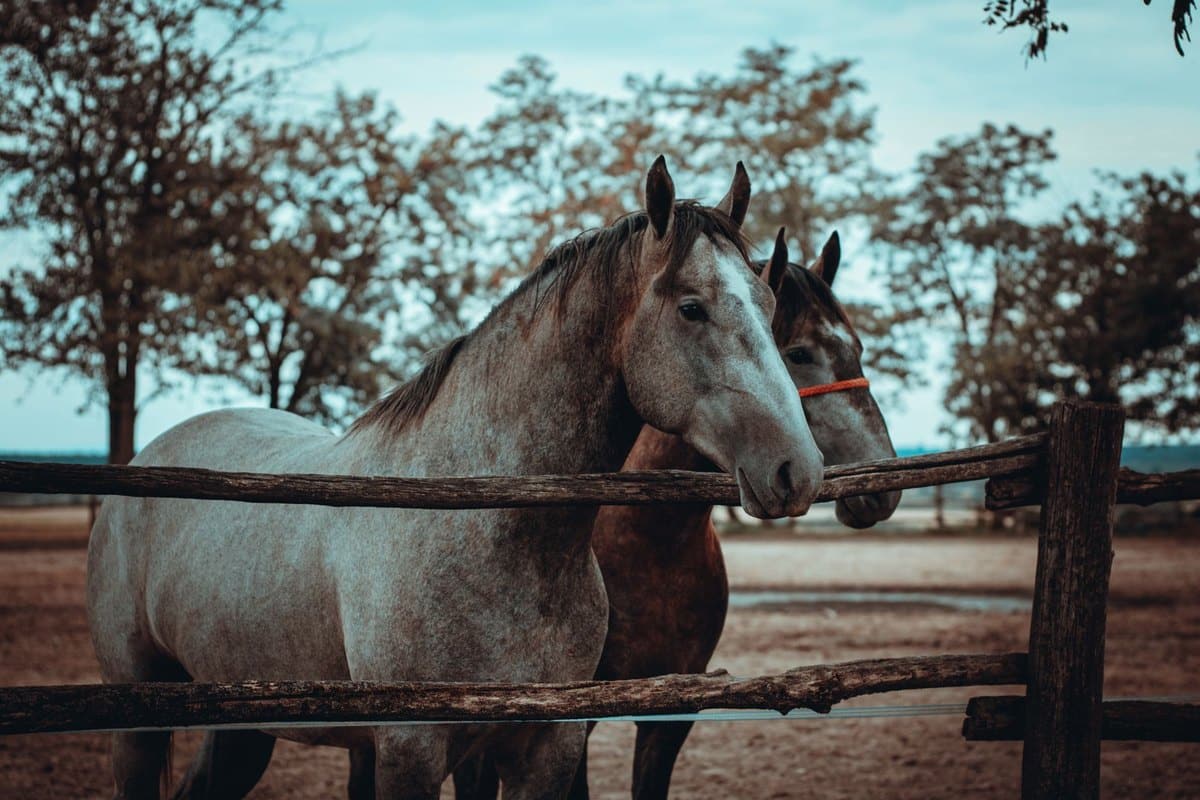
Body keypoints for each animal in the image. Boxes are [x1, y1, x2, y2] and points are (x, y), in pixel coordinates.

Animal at [86, 156, 827, 800]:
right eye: (691, 308)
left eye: (768, 306)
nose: (798, 470)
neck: (481, 527)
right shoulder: (411, 748)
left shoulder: (546, 748)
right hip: (139, 722)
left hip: (238, 718)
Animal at [453, 229, 901, 800]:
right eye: (799, 353)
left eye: (857, 349)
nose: (885, 485)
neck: (651, 545)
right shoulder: (575, 717)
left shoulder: (671, 714)